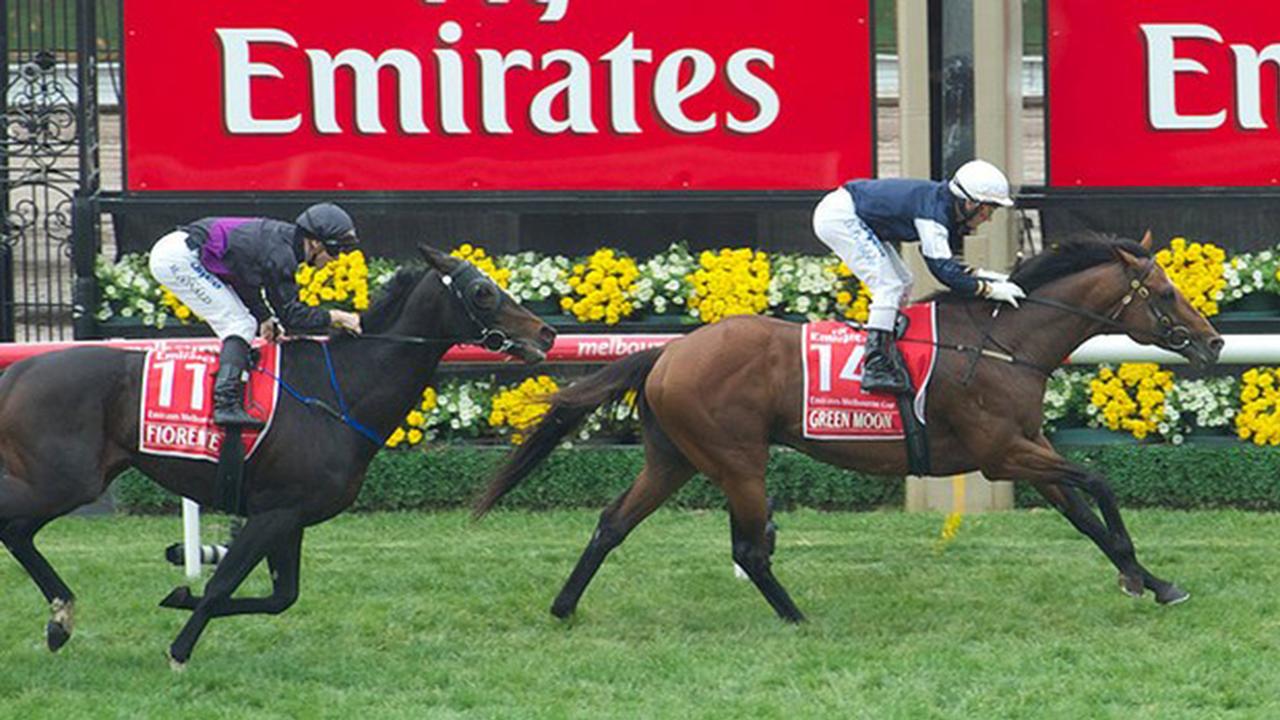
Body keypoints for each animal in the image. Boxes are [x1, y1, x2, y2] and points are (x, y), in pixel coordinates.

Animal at [0, 243, 555, 666]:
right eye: (482, 291)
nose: (546, 332)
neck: (338, 391)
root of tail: (19, 372)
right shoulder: (273, 512)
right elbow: (225, 584)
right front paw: (179, 651)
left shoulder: (290, 515)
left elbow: (280, 598)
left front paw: (180, 596)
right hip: (62, 482)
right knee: (14, 525)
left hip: (60, 481)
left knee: (19, 531)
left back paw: (60, 620)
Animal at [476, 230, 1223, 622]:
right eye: (1164, 293)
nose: (1213, 342)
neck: (1002, 342)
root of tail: (670, 350)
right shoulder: (1003, 453)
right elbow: (1098, 482)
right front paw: (1144, 577)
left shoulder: (1024, 448)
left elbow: (1084, 516)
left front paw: (1149, 579)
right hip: (738, 459)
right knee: (749, 548)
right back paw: (797, 617)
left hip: (673, 458)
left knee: (611, 523)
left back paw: (563, 607)